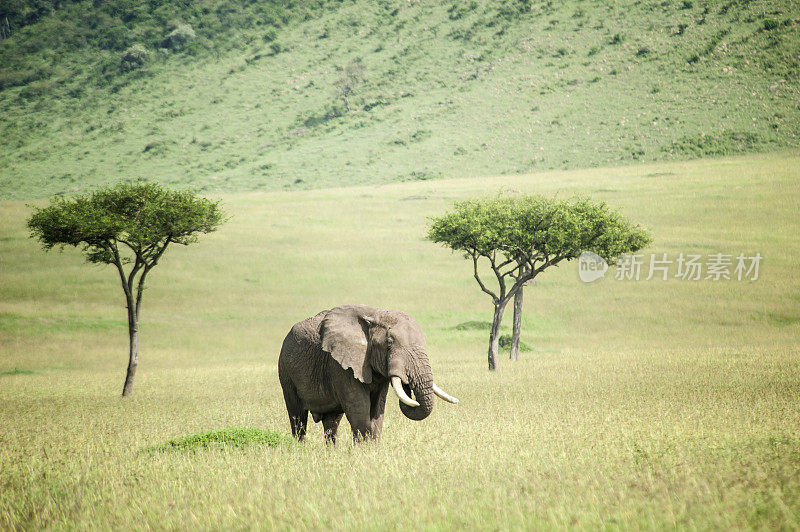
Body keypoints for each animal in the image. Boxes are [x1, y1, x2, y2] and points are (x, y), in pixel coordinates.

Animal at [278, 306, 460, 442]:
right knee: (297, 418)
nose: (407, 380)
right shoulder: (339, 364)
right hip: (285, 370)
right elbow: (359, 408)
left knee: (332, 422)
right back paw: (300, 449)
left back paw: (331, 453)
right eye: (389, 343)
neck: (376, 315)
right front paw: (362, 451)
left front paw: (372, 450)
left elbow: (377, 410)